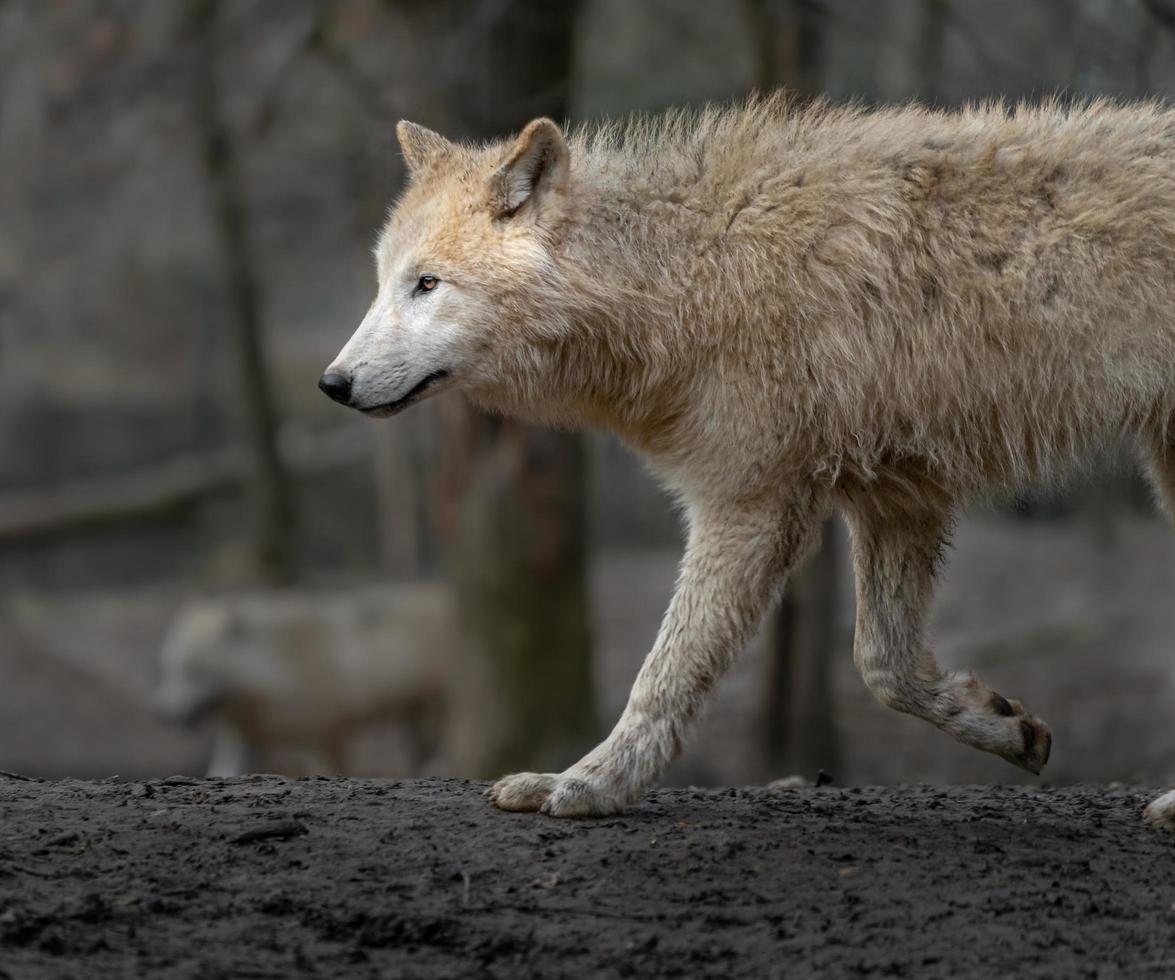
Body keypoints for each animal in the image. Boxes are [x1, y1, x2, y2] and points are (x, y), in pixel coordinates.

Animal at [158, 585, 460, 775]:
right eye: (170, 669)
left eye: (194, 670)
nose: (166, 714)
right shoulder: (243, 741)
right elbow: (222, 774)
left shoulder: (327, 737)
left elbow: (336, 771)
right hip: (415, 716)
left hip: (435, 712)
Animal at [319, 93, 1175, 827]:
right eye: (382, 284)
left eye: (427, 284)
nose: (333, 383)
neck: (681, 276)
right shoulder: (897, 492)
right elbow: (883, 666)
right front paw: (1006, 726)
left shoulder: (748, 502)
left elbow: (664, 674)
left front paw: (591, 784)